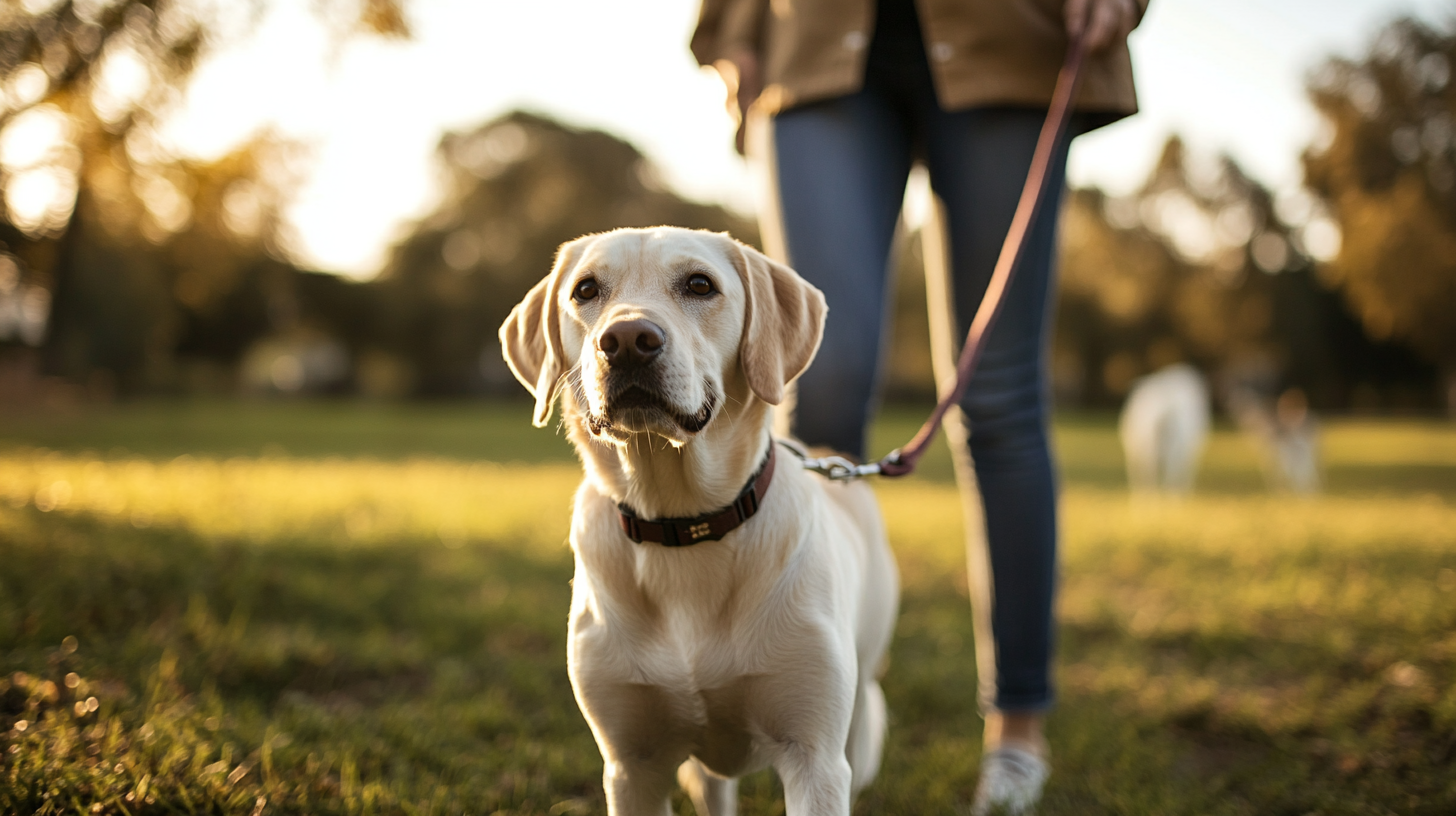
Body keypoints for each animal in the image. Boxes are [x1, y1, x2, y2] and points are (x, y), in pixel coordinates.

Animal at [500, 225, 896, 816]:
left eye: (700, 284)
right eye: (585, 290)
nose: (627, 340)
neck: (682, 523)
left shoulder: (815, 759)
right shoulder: (632, 765)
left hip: (861, 715)